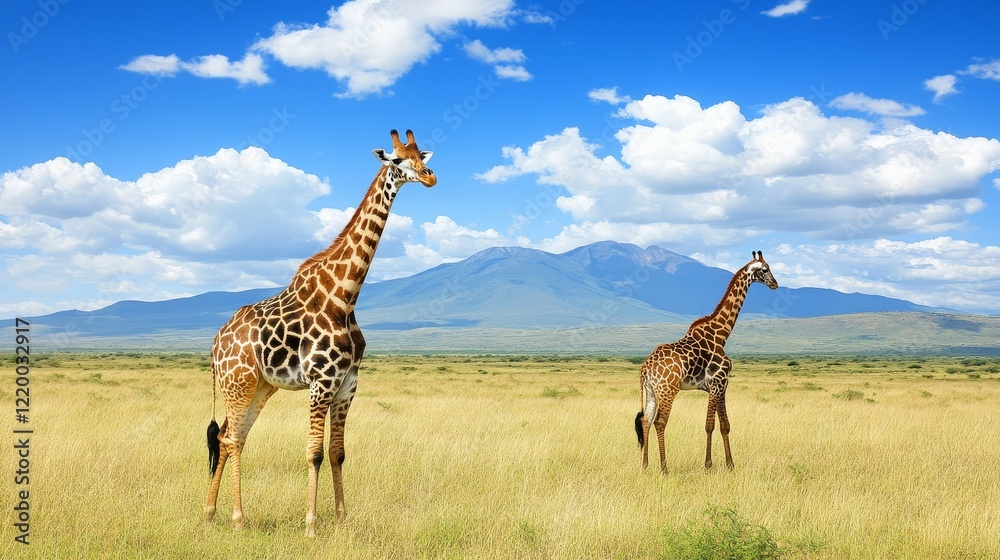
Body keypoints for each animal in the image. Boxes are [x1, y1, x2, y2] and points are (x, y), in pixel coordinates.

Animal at [203, 129, 436, 536]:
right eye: (396, 160)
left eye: (421, 156)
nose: (429, 176)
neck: (344, 296)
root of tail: (217, 342)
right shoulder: (320, 382)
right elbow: (313, 454)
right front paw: (311, 525)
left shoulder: (347, 384)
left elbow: (337, 452)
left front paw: (342, 517)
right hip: (238, 382)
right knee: (231, 439)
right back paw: (238, 519)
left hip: (259, 387)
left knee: (230, 437)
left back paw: (211, 512)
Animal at [634, 251, 778, 473]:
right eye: (765, 269)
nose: (775, 284)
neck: (721, 335)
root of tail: (645, 369)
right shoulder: (717, 383)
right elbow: (710, 425)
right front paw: (709, 464)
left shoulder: (721, 386)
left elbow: (725, 424)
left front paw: (730, 464)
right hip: (668, 390)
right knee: (660, 422)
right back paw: (664, 468)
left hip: (651, 391)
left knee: (646, 420)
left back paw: (645, 465)